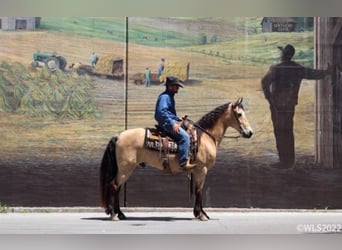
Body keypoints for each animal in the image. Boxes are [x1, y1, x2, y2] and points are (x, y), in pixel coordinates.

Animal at [100, 97, 252, 221]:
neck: (205, 136)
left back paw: (120, 214)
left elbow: (198, 191)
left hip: (124, 170)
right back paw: (113, 215)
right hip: (125, 169)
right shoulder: (201, 170)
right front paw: (201, 215)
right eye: (239, 114)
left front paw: (200, 213)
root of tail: (119, 136)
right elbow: (199, 191)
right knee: (114, 186)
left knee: (118, 188)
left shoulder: (198, 171)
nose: (249, 133)